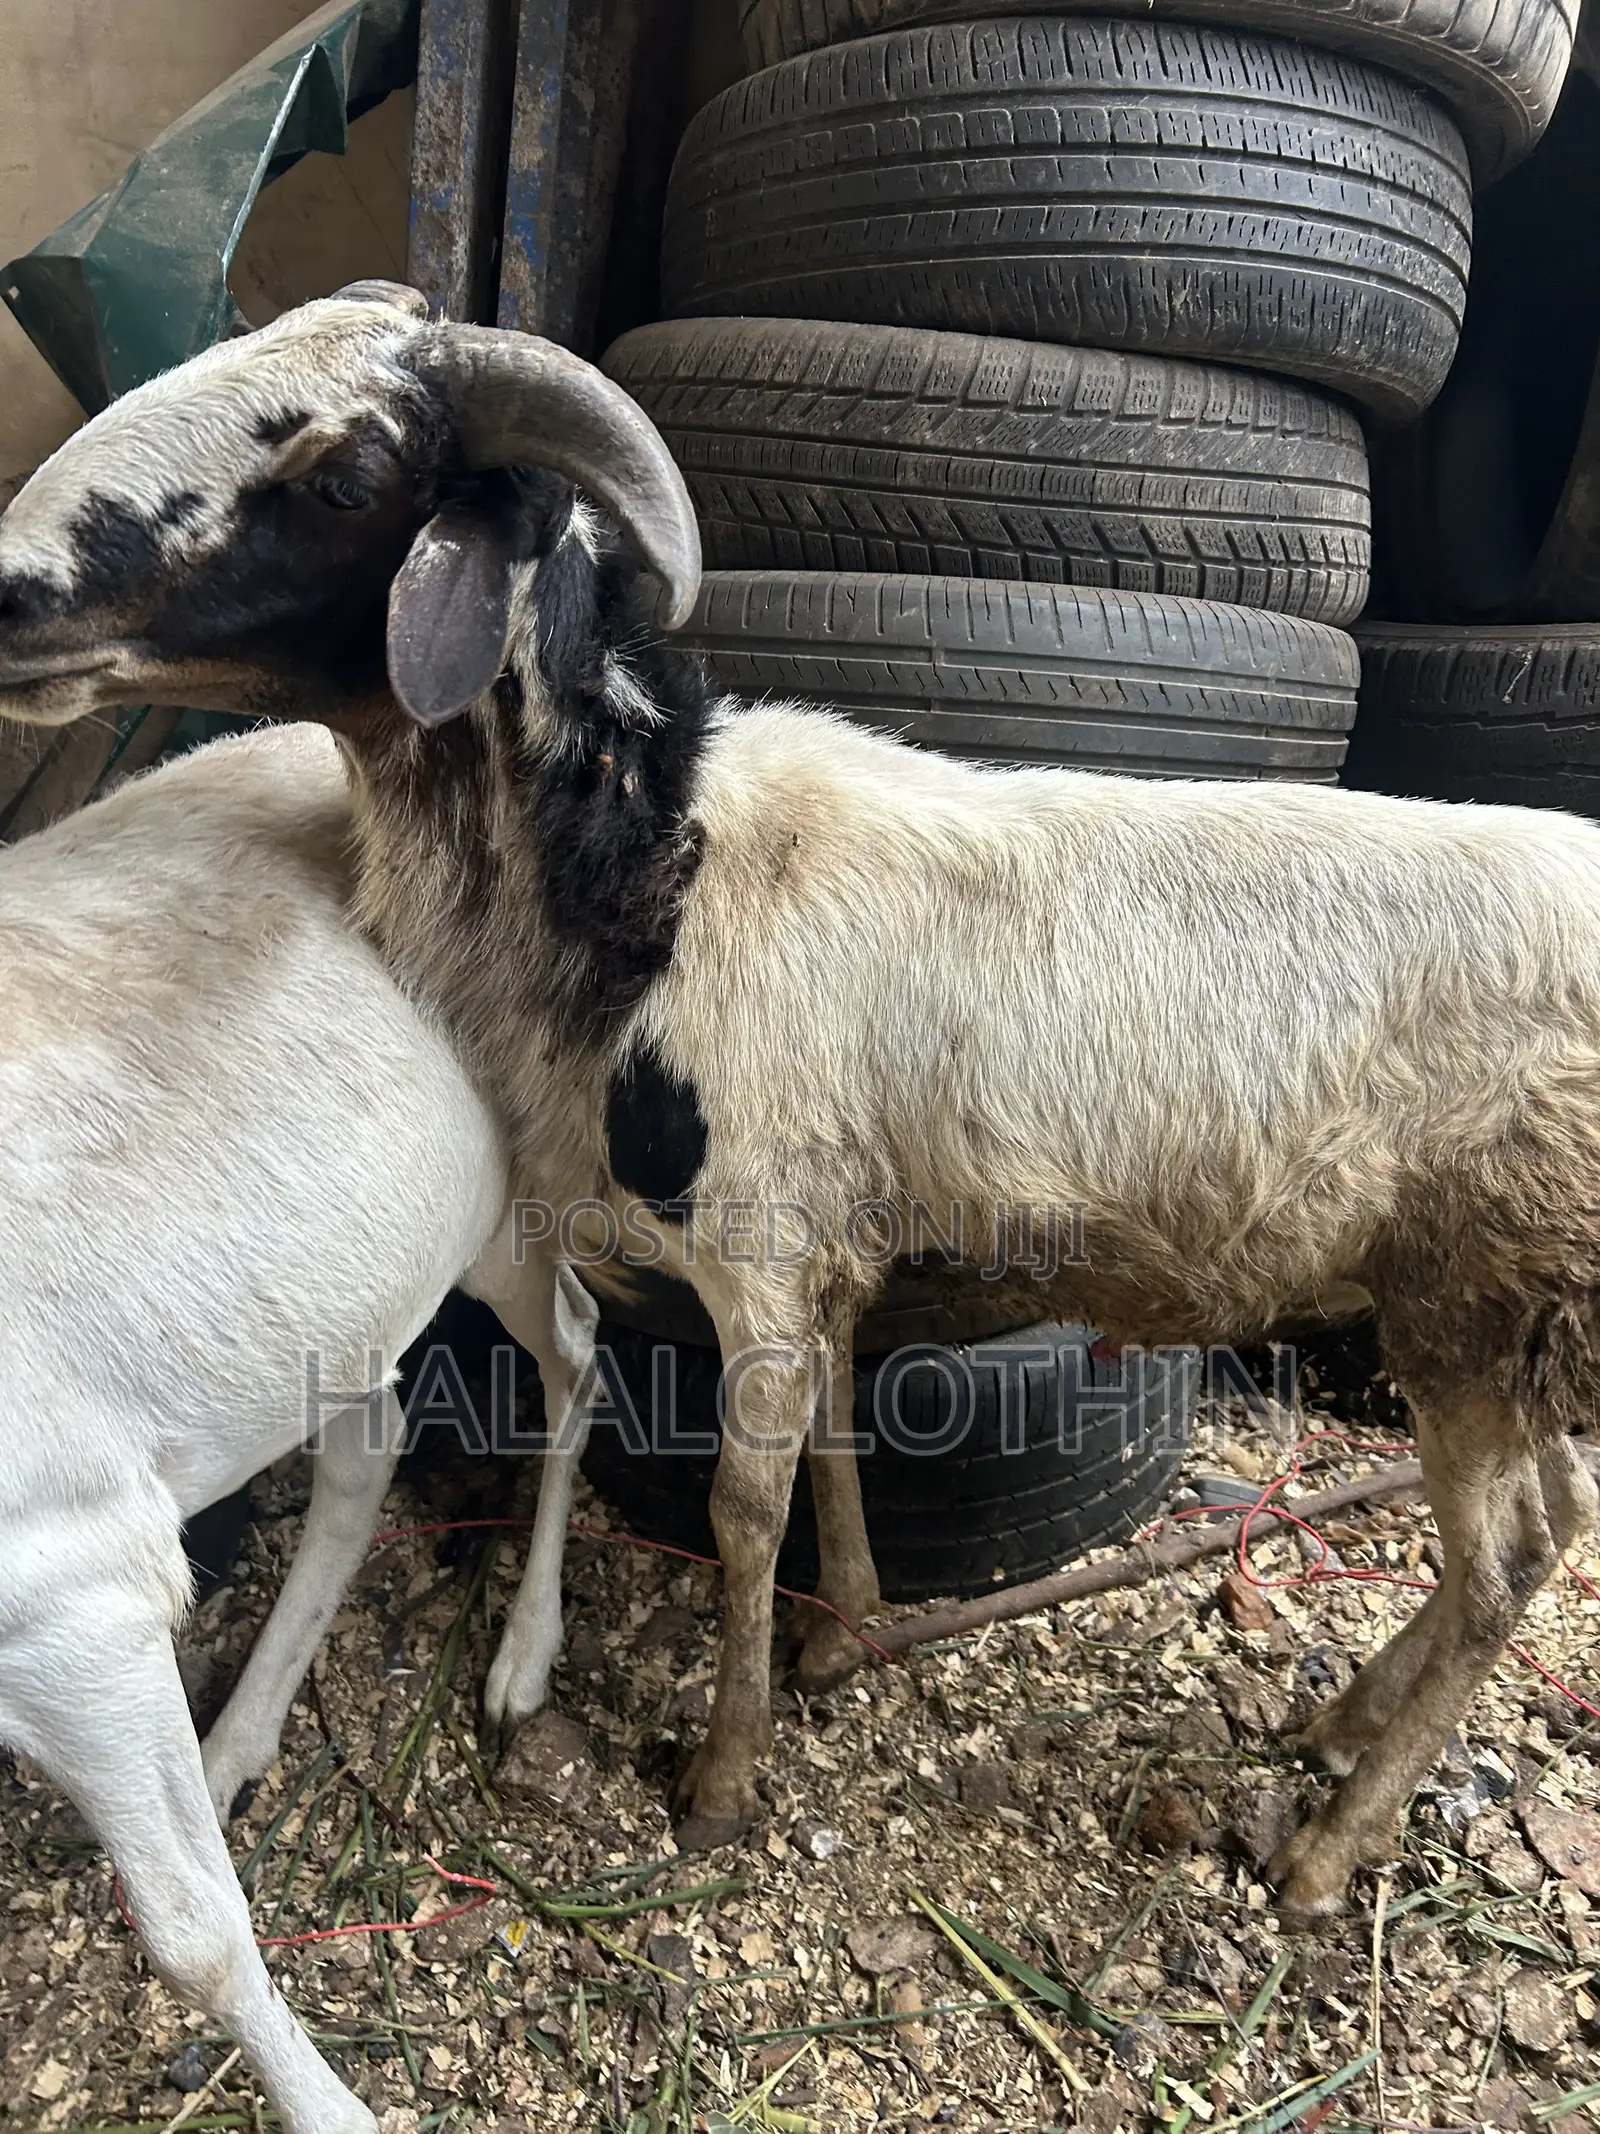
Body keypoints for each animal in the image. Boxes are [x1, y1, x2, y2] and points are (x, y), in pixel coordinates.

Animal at [0, 716, 599, 2134]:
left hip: (518, 1187)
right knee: (369, 1434)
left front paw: (339, 2113)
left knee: (576, 1339)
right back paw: (236, 1742)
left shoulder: (66, 1584)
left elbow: (194, 1934)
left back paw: (519, 1662)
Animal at [3, 287, 1598, 1935]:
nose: (4, 599)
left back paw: (1329, 1846)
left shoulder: (758, 1244)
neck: (651, 857)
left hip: (1477, 1293)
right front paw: (841, 1639)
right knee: (1554, 1518)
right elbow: (835, 1432)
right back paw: (1339, 1722)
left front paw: (720, 1780)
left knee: (1504, 1558)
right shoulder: (826, 1237)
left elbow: (741, 1511)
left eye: (342, 477)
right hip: (1512, 1321)